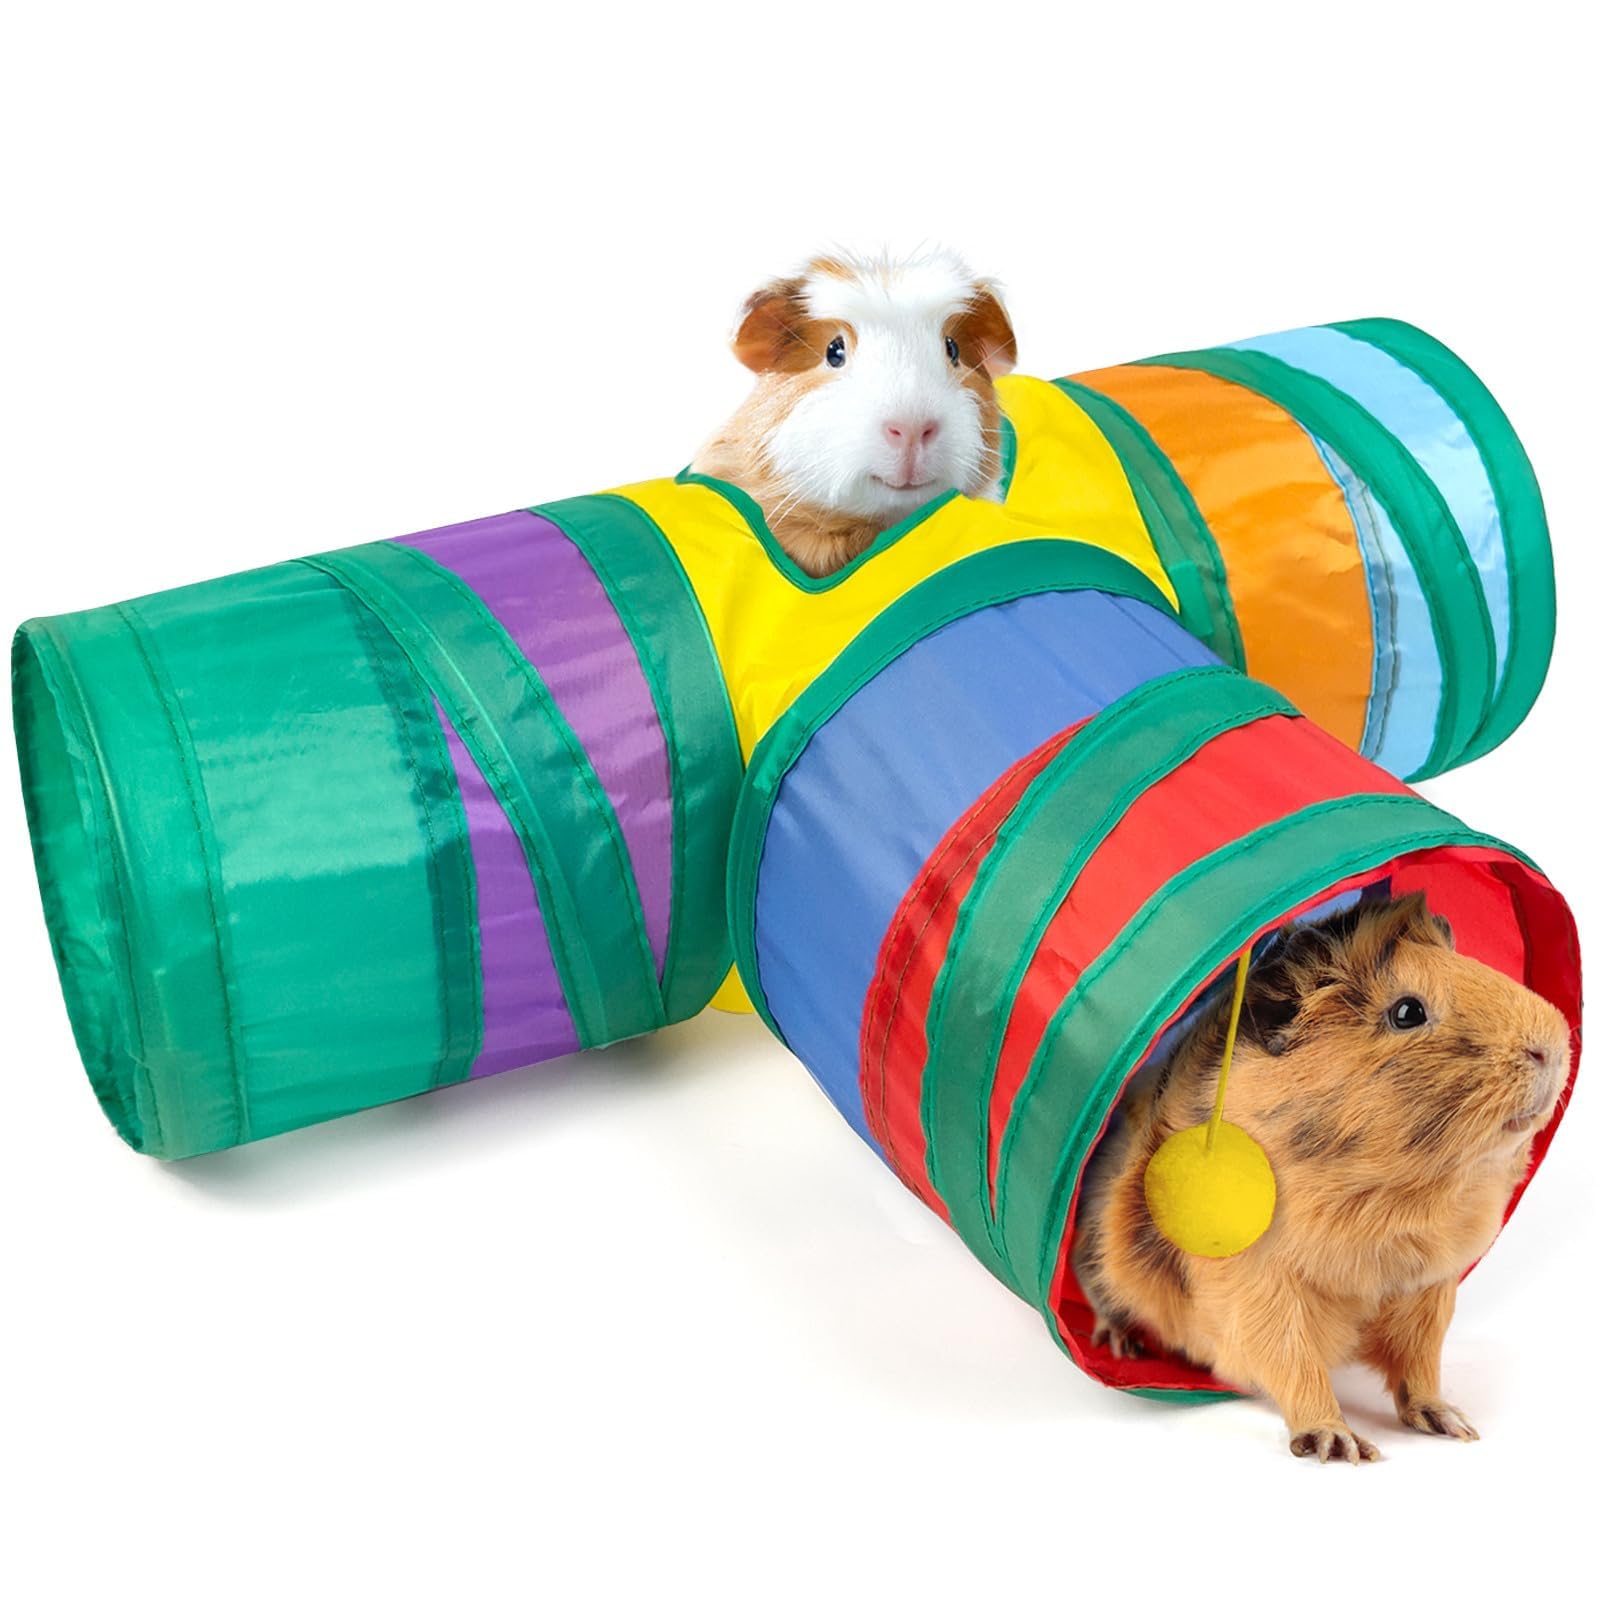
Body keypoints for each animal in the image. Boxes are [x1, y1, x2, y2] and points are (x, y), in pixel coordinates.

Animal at [1071, 891, 1572, 1463]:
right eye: (1407, 1012)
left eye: (1474, 967)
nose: (1551, 1048)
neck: (1396, 1200)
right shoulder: (1263, 1289)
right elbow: (1297, 1365)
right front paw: (1343, 1447)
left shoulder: (1429, 1290)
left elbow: (1419, 1371)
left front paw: (1454, 1425)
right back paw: (1120, 1344)